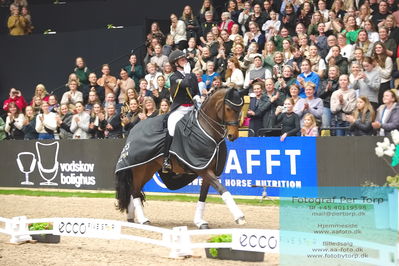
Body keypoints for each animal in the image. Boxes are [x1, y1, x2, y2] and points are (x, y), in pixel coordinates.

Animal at [115, 88, 247, 229]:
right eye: (228, 108)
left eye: (240, 109)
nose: (233, 135)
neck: (206, 129)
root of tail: (134, 129)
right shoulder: (203, 169)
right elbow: (222, 189)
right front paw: (240, 217)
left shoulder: (207, 169)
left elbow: (203, 196)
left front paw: (199, 221)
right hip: (139, 167)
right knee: (135, 191)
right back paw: (143, 220)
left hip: (149, 168)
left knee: (135, 190)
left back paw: (131, 217)